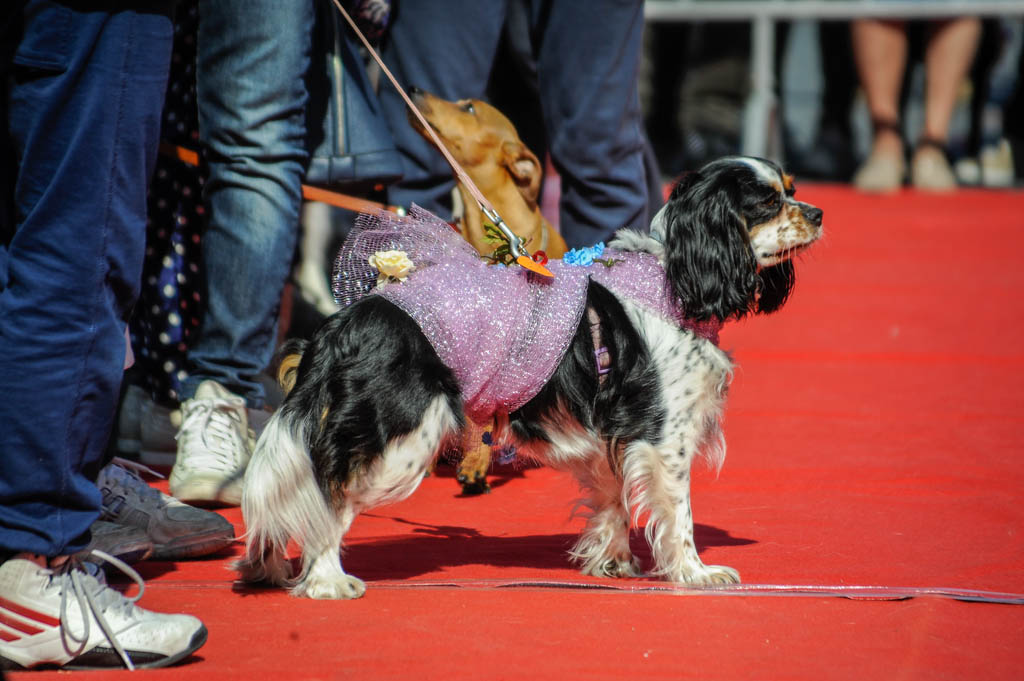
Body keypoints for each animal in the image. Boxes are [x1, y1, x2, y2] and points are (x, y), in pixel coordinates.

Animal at [235, 156, 823, 599]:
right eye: (768, 202)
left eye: (794, 190)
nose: (818, 212)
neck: (674, 274)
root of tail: (344, 325)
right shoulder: (664, 434)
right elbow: (679, 514)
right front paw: (695, 573)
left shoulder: (606, 432)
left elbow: (611, 496)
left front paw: (611, 563)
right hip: (402, 439)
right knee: (329, 496)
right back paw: (327, 581)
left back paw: (267, 568)